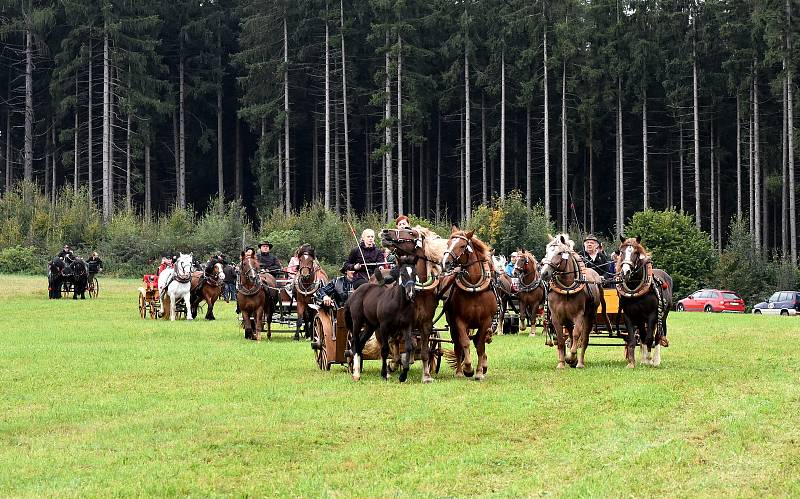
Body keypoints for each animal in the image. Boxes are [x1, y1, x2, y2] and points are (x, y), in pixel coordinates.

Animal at [380, 225, 446, 384]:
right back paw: (390, 368)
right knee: (389, 344)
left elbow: (424, 351)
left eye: (410, 232)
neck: (419, 292)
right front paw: (396, 366)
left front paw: (426, 376)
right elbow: (406, 346)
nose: (385, 232)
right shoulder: (407, 323)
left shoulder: (426, 324)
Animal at [440, 231, 496, 382]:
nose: (445, 262)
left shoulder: (486, 321)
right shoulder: (459, 320)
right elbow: (464, 342)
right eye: (448, 243)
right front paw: (468, 368)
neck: (474, 287)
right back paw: (460, 370)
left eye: (462, 245)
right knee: (457, 344)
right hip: (453, 325)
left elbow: (480, 345)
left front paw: (479, 372)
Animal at [536, 232, 612, 370]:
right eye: (547, 250)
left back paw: (580, 362)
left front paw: (571, 357)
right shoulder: (556, 316)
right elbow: (561, 339)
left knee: (584, 338)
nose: (544, 273)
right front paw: (561, 363)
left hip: (588, 316)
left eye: (560, 253)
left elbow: (577, 335)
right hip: (567, 318)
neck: (566, 288)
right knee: (570, 335)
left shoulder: (579, 315)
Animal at [616, 236, 672, 370]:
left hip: (662, 316)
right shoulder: (629, 315)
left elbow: (649, 338)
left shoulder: (652, 316)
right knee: (642, 335)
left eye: (636, 253)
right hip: (641, 319)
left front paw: (650, 360)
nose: (625, 272)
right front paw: (632, 363)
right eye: (621, 252)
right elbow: (633, 339)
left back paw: (655, 360)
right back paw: (643, 359)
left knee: (657, 336)